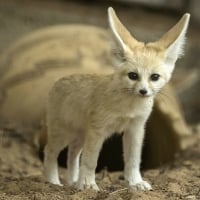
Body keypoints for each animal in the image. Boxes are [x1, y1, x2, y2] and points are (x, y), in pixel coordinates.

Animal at [44, 7, 191, 191]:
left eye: (155, 77)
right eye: (133, 76)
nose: (143, 91)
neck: (128, 107)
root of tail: (57, 82)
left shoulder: (135, 128)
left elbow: (133, 160)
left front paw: (135, 182)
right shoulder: (98, 130)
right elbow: (91, 160)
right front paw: (88, 185)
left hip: (80, 135)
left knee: (73, 154)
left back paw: (73, 181)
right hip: (63, 134)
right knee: (49, 151)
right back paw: (53, 181)